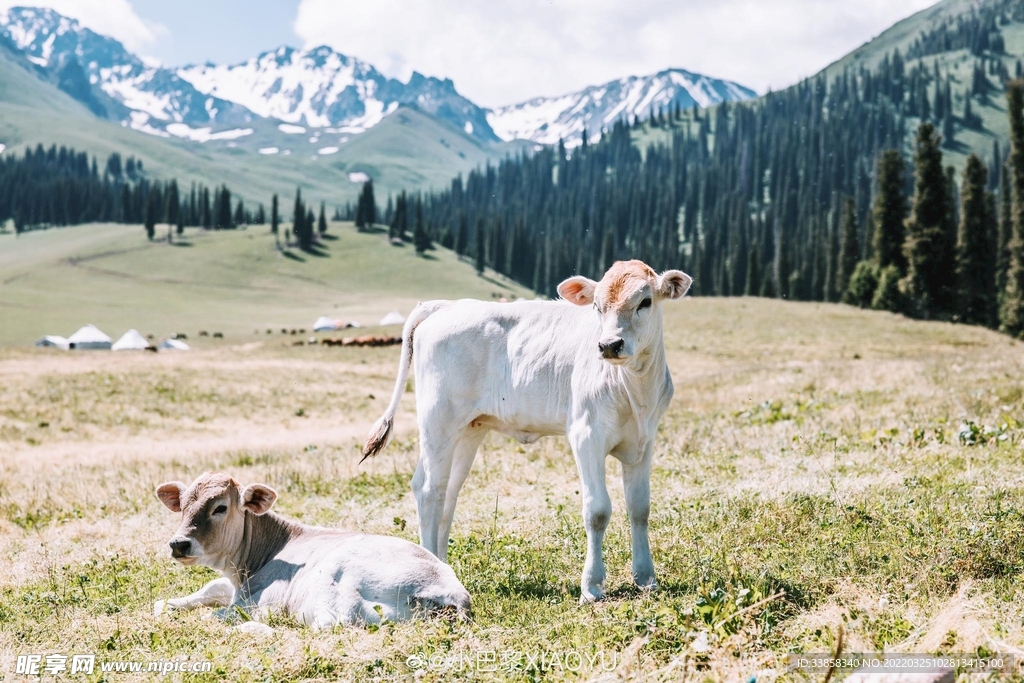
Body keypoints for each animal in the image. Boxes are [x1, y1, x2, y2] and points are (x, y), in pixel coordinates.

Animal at [153, 473, 473, 626]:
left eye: (220, 508)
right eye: (183, 506)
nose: (179, 543)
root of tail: (453, 593)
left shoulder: (261, 600)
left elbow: (221, 613)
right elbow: (211, 588)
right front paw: (168, 603)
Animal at [364, 259, 692, 602]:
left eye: (645, 302)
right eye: (596, 306)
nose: (608, 345)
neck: (635, 391)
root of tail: (446, 305)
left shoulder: (644, 441)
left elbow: (640, 507)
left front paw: (646, 578)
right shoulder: (586, 435)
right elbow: (598, 510)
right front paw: (591, 586)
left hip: (466, 430)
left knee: (446, 492)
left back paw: (444, 567)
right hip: (438, 419)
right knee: (430, 491)